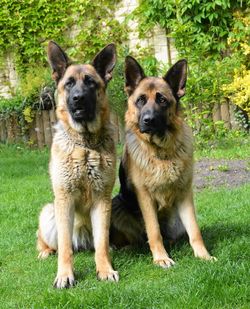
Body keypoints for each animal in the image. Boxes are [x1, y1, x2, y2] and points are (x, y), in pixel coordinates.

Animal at [37, 41, 119, 286]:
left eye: (91, 82)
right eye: (69, 83)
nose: (78, 98)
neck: (85, 145)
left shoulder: (102, 201)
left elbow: (101, 244)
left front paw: (105, 269)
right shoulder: (64, 200)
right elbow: (65, 247)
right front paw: (65, 275)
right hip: (49, 212)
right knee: (50, 242)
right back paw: (45, 251)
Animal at [110, 55, 216, 268]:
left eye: (162, 100)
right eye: (140, 100)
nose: (148, 120)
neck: (161, 151)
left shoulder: (185, 194)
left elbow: (195, 230)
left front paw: (203, 255)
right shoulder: (145, 198)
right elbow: (154, 231)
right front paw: (161, 258)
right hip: (116, 205)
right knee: (139, 238)